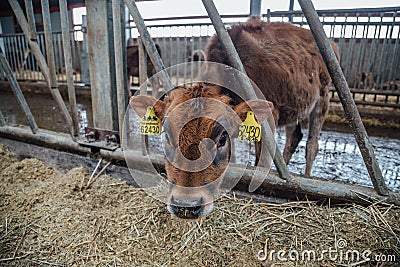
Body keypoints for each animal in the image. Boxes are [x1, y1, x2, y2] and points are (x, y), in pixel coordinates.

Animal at [130, 18, 338, 220]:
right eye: (167, 136)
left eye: (222, 138)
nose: (186, 205)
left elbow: (261, 162)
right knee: (294, 137)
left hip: (323, 97)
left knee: (312, 145)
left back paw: (306, 177)